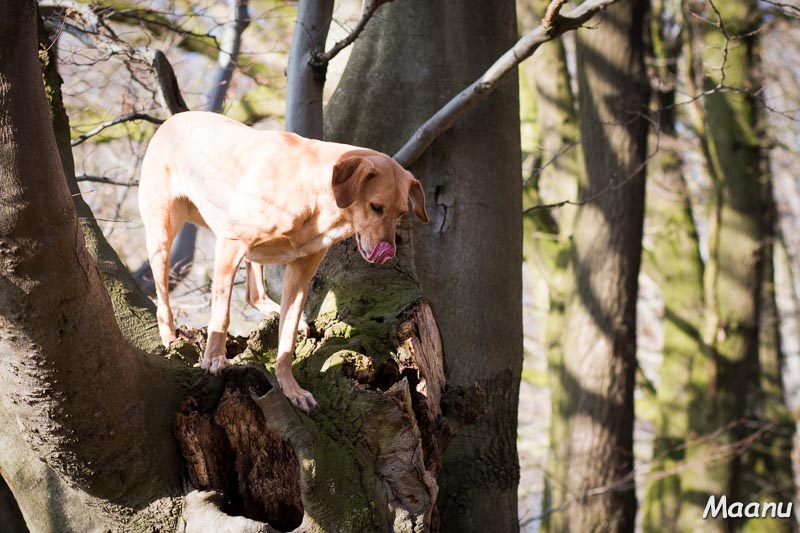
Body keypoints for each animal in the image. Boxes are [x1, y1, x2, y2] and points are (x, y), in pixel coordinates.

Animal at [138, 111, 428, 412]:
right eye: (376, 207)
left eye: (401, 213)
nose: (389, 251)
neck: (313, 195)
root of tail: (173, 119)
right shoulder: (230, 244)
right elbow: (221, 314)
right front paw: (214, 359)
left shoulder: (300, 273)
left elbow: (287, 341)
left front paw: (291, 389)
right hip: (162, 235)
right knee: (163, 302)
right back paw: (170, 339)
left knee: (255, 294)